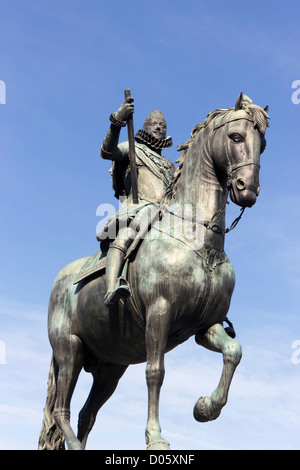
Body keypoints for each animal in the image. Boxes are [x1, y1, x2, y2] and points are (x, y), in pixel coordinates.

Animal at [38, 92, 270, 448]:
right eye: (235, 137)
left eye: (263, 143)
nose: (248, 189)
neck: (200, 244)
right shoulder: (159, 312)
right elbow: (155, 372)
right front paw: (155, 436)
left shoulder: (206, 326)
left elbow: (234, 351)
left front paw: (205, 407)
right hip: (70, 350)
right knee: (62, 409)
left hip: (110, 366)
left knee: (86, 414)